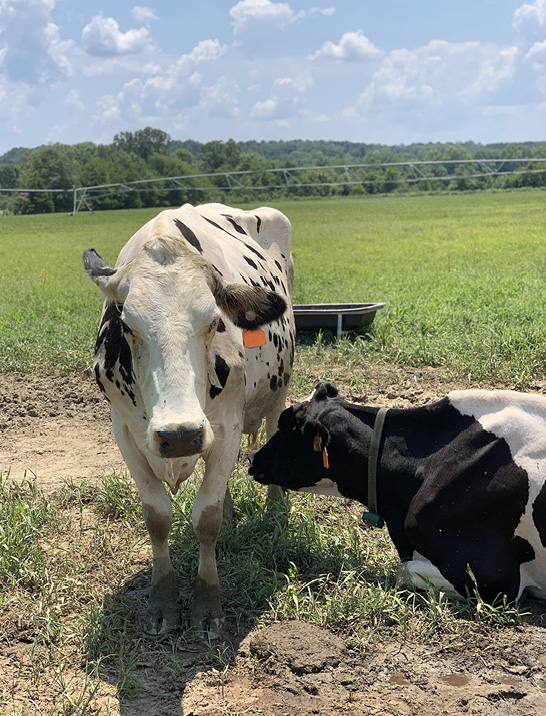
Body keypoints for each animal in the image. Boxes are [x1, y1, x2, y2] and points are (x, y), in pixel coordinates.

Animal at [83, 201, 294, 632]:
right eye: (127, 325)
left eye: (214, 321)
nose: (179, 435)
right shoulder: (125, 432)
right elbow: (157, 517)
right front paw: (162, 600)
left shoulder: (226, 426)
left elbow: (205, 519)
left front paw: (206, 604)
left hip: (277, 390)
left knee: (271, 430)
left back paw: (274, 510)